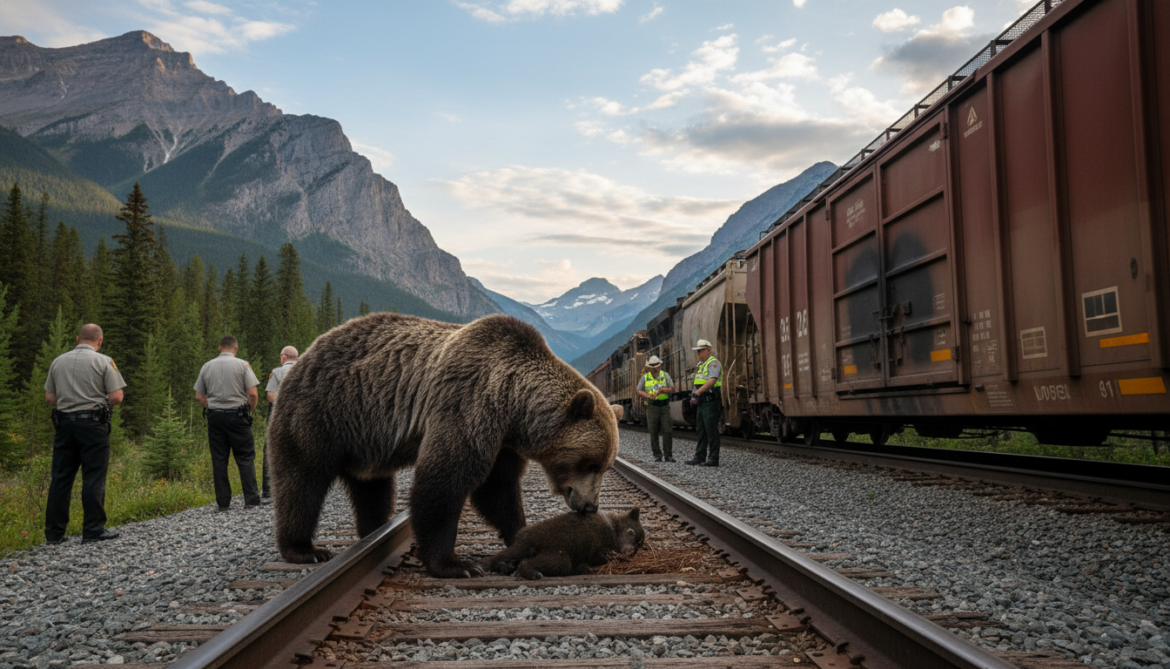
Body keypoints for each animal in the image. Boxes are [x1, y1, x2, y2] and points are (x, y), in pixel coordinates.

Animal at [267, 312, 624, 578]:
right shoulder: (469, 402)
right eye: (590, 463)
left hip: (364, 437)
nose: (590, 506)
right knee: (302, 480)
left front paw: (520, 535)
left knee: (373, 489)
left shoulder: (502, 442)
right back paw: (305, 549)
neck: (513, 406)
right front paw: (456, 564)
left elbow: (498, 489)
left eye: (606, 465)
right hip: (322, 412)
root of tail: (308, 351)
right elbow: (446, 479)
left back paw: (373, 531)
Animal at [487, 507, 645, 580]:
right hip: (559, 557)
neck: (612, 527)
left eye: (639, 545)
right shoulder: (596, 546)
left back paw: (505, 566)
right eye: (630, 532)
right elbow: (598, 557)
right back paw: (532, 573)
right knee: (526, 562)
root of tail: (525, 539)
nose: (629, 551)